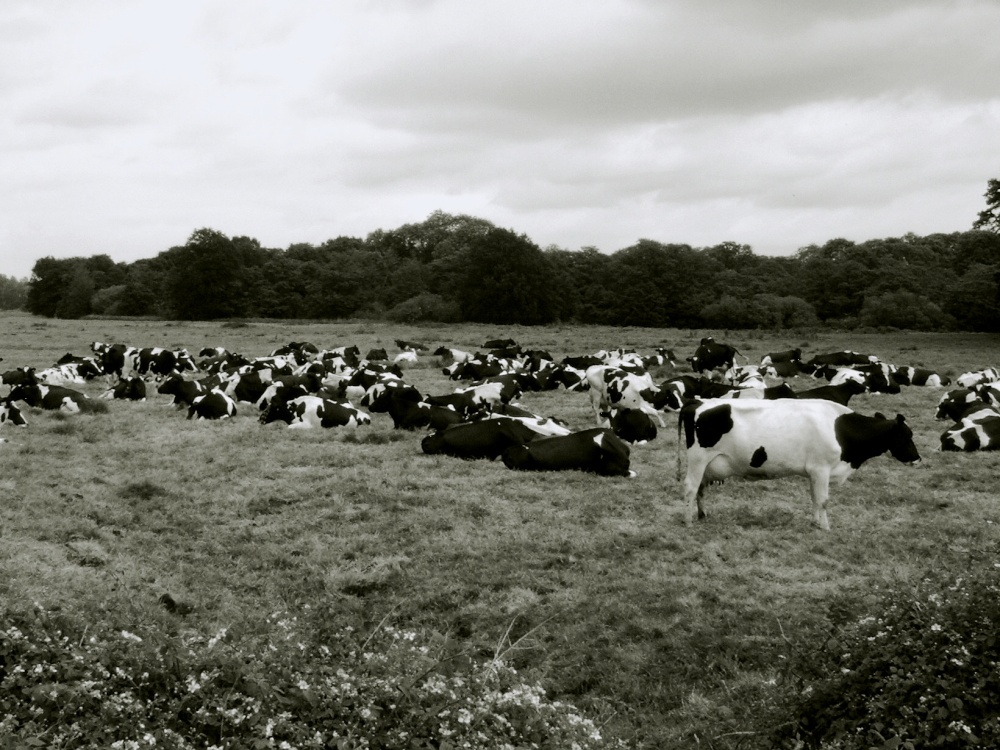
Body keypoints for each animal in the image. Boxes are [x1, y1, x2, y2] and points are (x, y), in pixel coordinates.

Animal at [677, 399, 921, 530]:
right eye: (907, 435)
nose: (918, 459)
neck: (840, 430)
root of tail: (698, 401)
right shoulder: (822, 469)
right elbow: (823, 500)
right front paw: (825, 527)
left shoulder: (814, 472)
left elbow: (814, 499)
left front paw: (815, 523)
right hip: (698, 459)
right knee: (690, 487)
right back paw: (688, 522)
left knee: (700, 489)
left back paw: (703, 514)